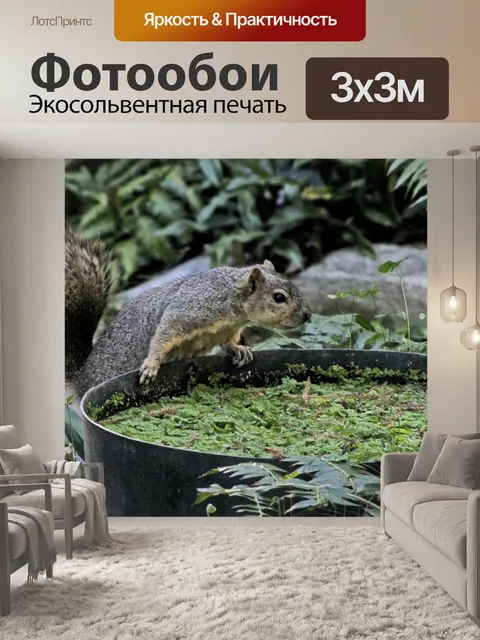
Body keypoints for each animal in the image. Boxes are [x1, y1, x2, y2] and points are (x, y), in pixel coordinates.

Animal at [65, 227, 312, 399]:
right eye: (279, 297)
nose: (307, 315)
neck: (233, 303)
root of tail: (82, 379)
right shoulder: (190, 309)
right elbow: (164, 333)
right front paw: (151, 364)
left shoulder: (228, 329)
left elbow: (228, 343)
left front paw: (240, 349)